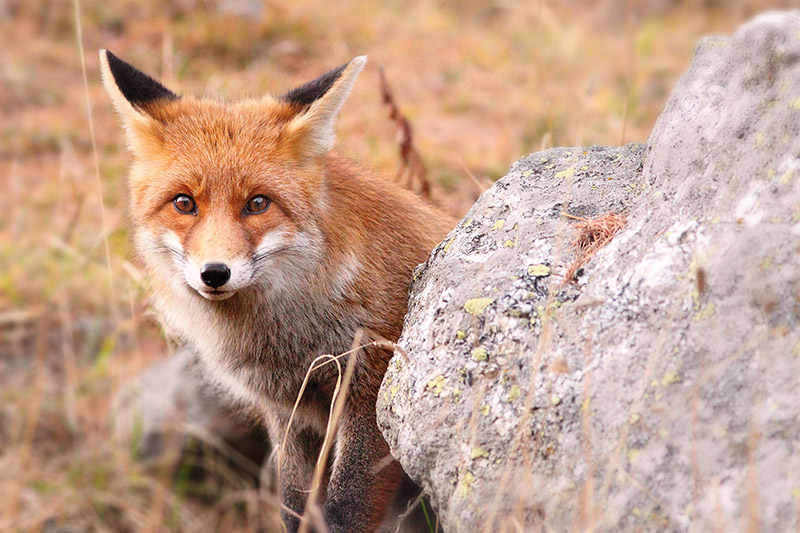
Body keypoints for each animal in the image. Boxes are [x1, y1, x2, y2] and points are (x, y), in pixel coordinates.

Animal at [98, 50, 456, 532]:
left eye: (257, 203)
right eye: (184, 203)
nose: (215, 273)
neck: (289, 338)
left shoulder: (371, 395)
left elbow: (345, 509)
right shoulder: (289, 413)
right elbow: (292, 504)